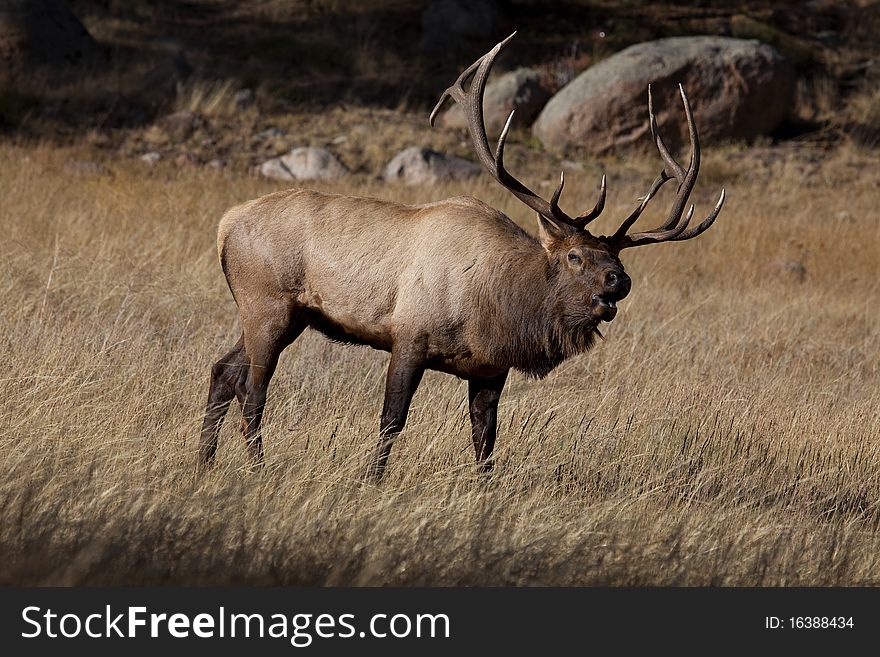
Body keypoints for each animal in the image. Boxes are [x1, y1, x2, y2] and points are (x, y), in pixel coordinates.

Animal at [199, 32, 720, 476]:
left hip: (285, 315)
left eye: (619, 260)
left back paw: (204, 462)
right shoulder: (409, 335)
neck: (496, 309)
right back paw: (256, 468)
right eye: (575, 257)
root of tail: (225, 224)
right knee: (253, 392)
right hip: (269, 304)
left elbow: (485, 439)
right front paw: (371, 480)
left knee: (223, 370)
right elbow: (392, 419)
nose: (620, 281)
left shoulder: (490, 369)